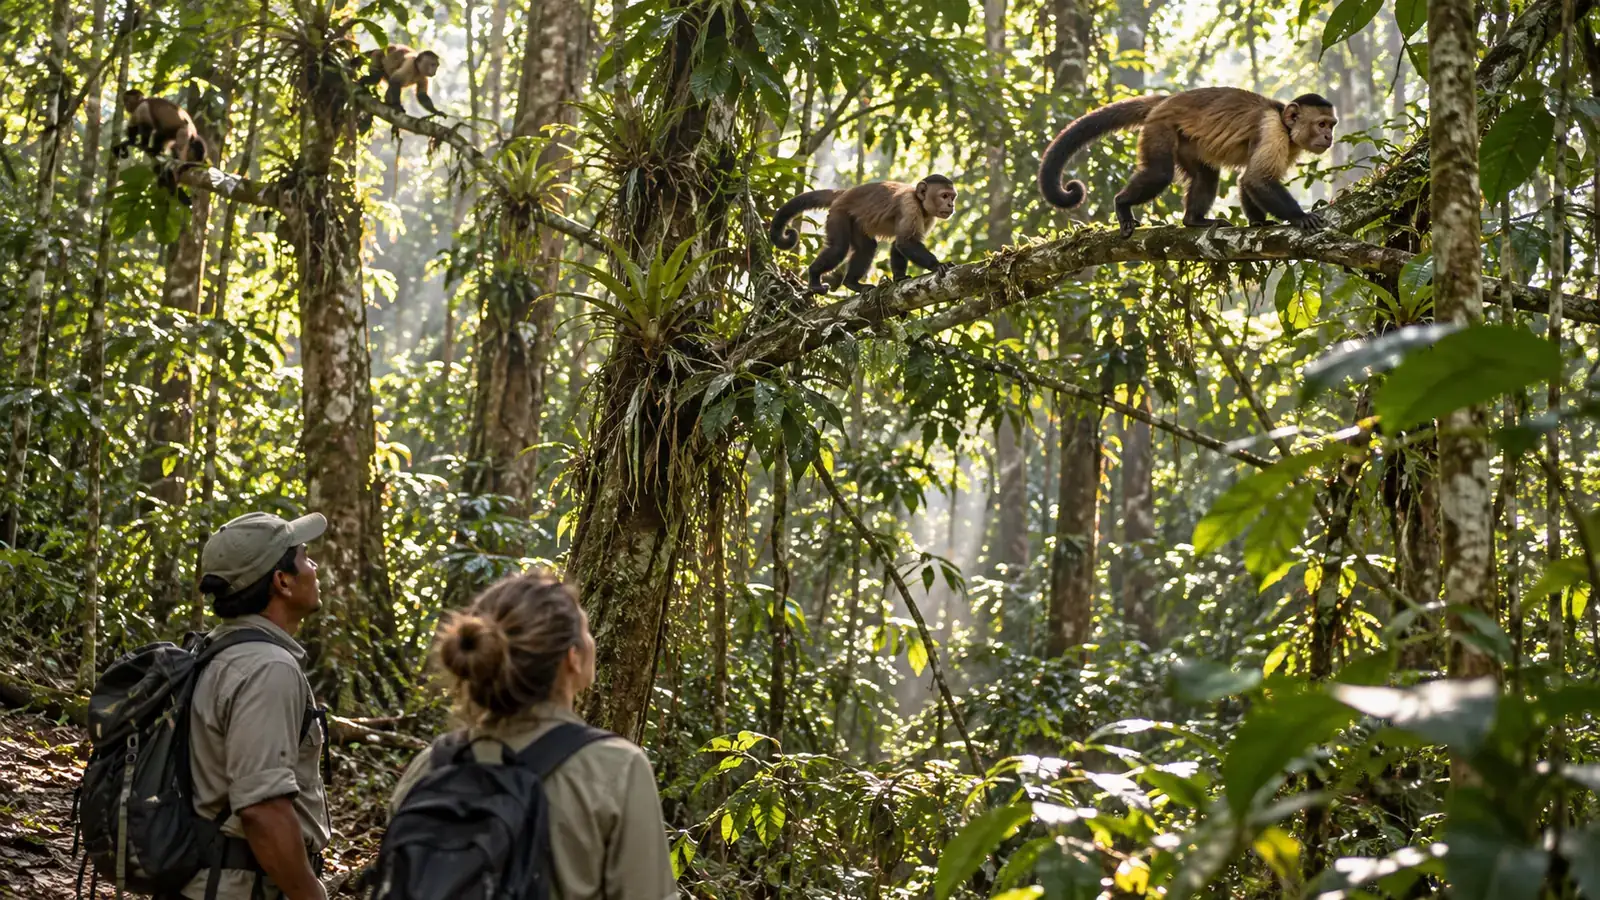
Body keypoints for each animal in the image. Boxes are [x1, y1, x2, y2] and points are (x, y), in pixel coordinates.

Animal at [768, 176, 957, 294]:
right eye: (944, 196)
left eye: (952, 197)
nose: (951, 205)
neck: (919, 202)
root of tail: (845, 192)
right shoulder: (909, 204)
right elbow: (905, 242)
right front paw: (937, 265)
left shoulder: (929, 217)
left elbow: (899, 244)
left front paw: (899, 277)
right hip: (839, 213)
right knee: (839, 248)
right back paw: (815, 277)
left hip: (856, 221)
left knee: (867, 247)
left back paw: (852, 283)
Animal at [1038, 88, 1337, 237]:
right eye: (1321, 124)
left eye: (1331, 125)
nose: (1329, 137)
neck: (1286, 125)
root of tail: (1166, 100)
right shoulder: (1273, 131)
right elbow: (1256, 179)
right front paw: (1300, 217)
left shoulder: (1289, 144)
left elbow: (1248, 180)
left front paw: (1257, 224)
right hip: (1160, 127)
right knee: (1160, 173)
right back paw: (1122, 205)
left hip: (1186, 141)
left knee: (1206, 176)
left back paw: (1194, 221)